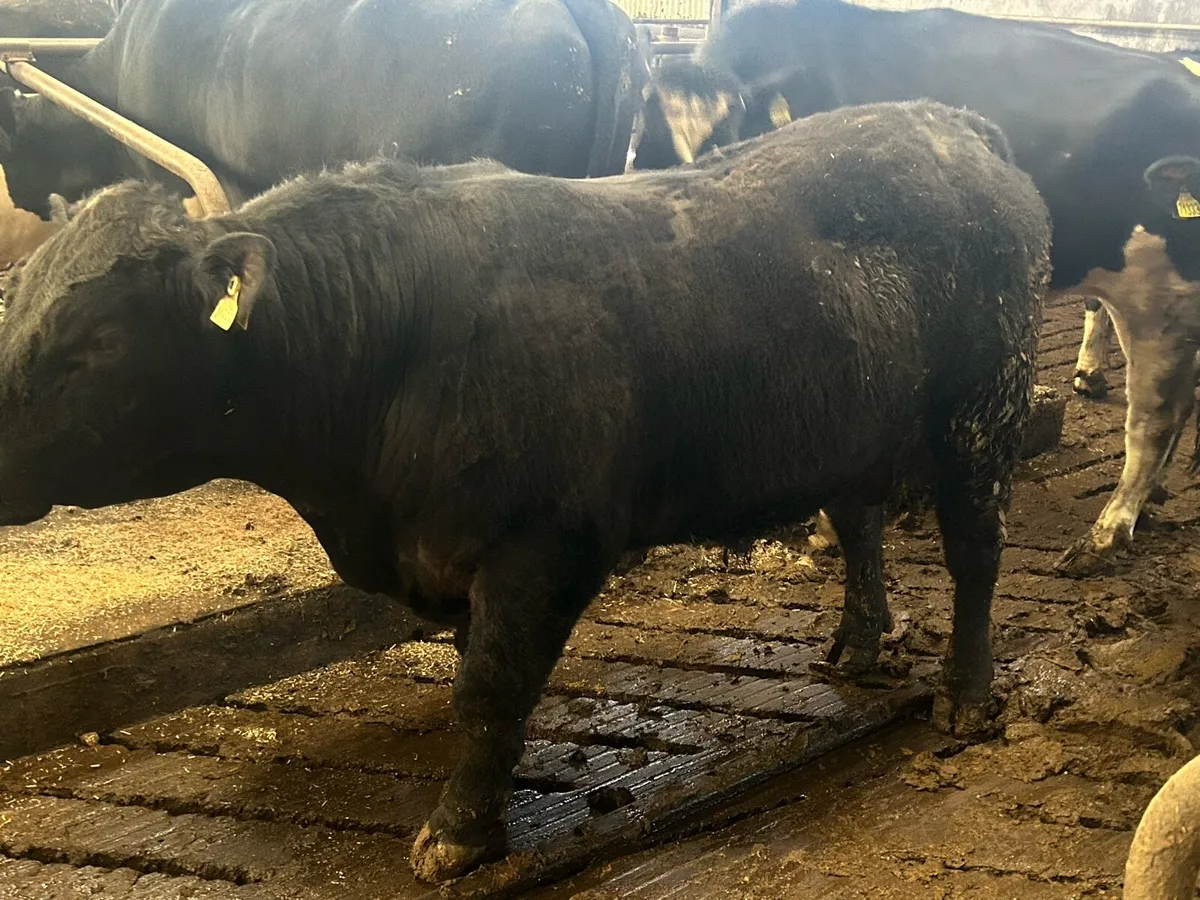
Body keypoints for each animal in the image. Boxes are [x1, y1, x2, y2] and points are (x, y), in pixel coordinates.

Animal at [0, 99, 1050, 881]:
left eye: (96, 342)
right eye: (18, 303)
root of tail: (949, 122)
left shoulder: (542, 545)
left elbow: (488, 689)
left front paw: (456, 838)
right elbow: (479, 683)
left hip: (978, 415)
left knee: (975, 552)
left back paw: (966, 697)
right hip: (849, 421)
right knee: (860, 520)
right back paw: (858, 646)